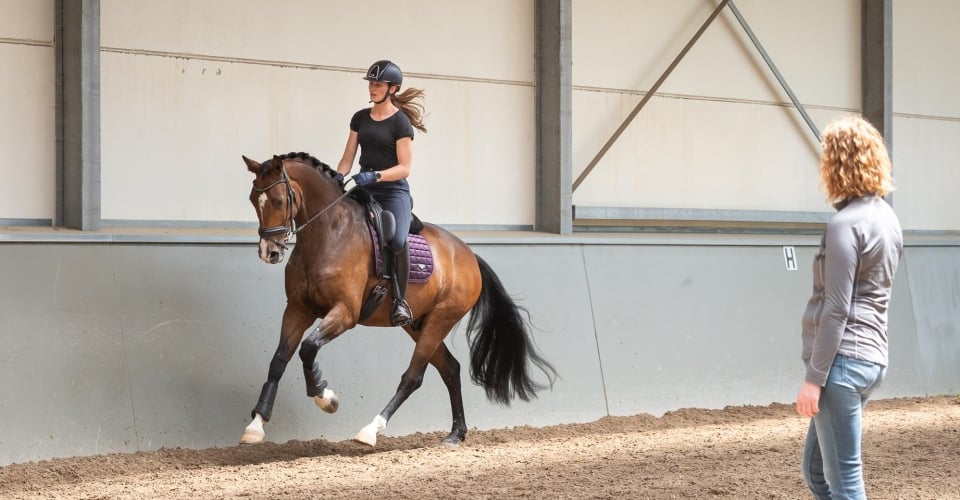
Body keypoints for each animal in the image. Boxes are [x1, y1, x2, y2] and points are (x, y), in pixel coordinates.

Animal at [238, 150, 556, 448]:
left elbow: (308, 348)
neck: (328, 233)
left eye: (279, 201)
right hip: (418, 325)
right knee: (450, 368)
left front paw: (325, 397)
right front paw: (256, 425)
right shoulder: (297, 310)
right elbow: (279, 359)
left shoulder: (345, 313)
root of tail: (468, 256)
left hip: (440, 320)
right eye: (254, 200)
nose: (269, 252)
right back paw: (456, 433)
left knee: (413, 377)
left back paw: (370, 430)